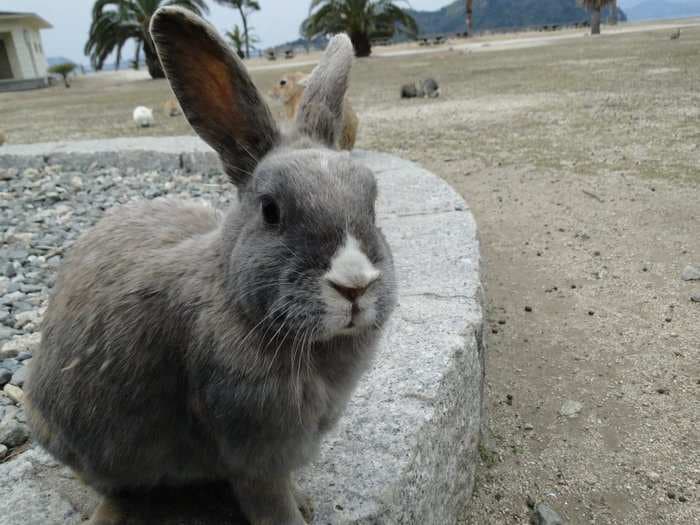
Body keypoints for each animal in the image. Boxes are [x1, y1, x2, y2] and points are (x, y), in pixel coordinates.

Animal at [24, 5, 396, 524]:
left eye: (373, 203)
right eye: (270, 211)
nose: (355, 286)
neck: (234, 301)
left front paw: (305, 502)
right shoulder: (255, 451)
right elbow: (270, 504)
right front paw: (296, 514)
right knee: (114, 486)